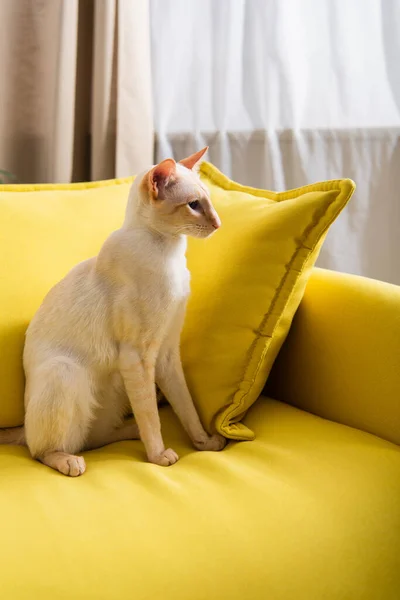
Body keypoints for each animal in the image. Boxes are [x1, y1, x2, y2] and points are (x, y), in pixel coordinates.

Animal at [1, 148, 227, 476]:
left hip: (116, 390)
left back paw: (130, 431)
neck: (168, 252)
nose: (219, 224)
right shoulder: (138, 356)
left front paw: (206, 444)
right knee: (42, 448)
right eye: (194, 205)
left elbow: (187, 411)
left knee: (92, 438)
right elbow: (151, 416)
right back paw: (69, 460)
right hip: (65, 371)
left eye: (208, 202)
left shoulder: (167, 352)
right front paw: (159, 456)